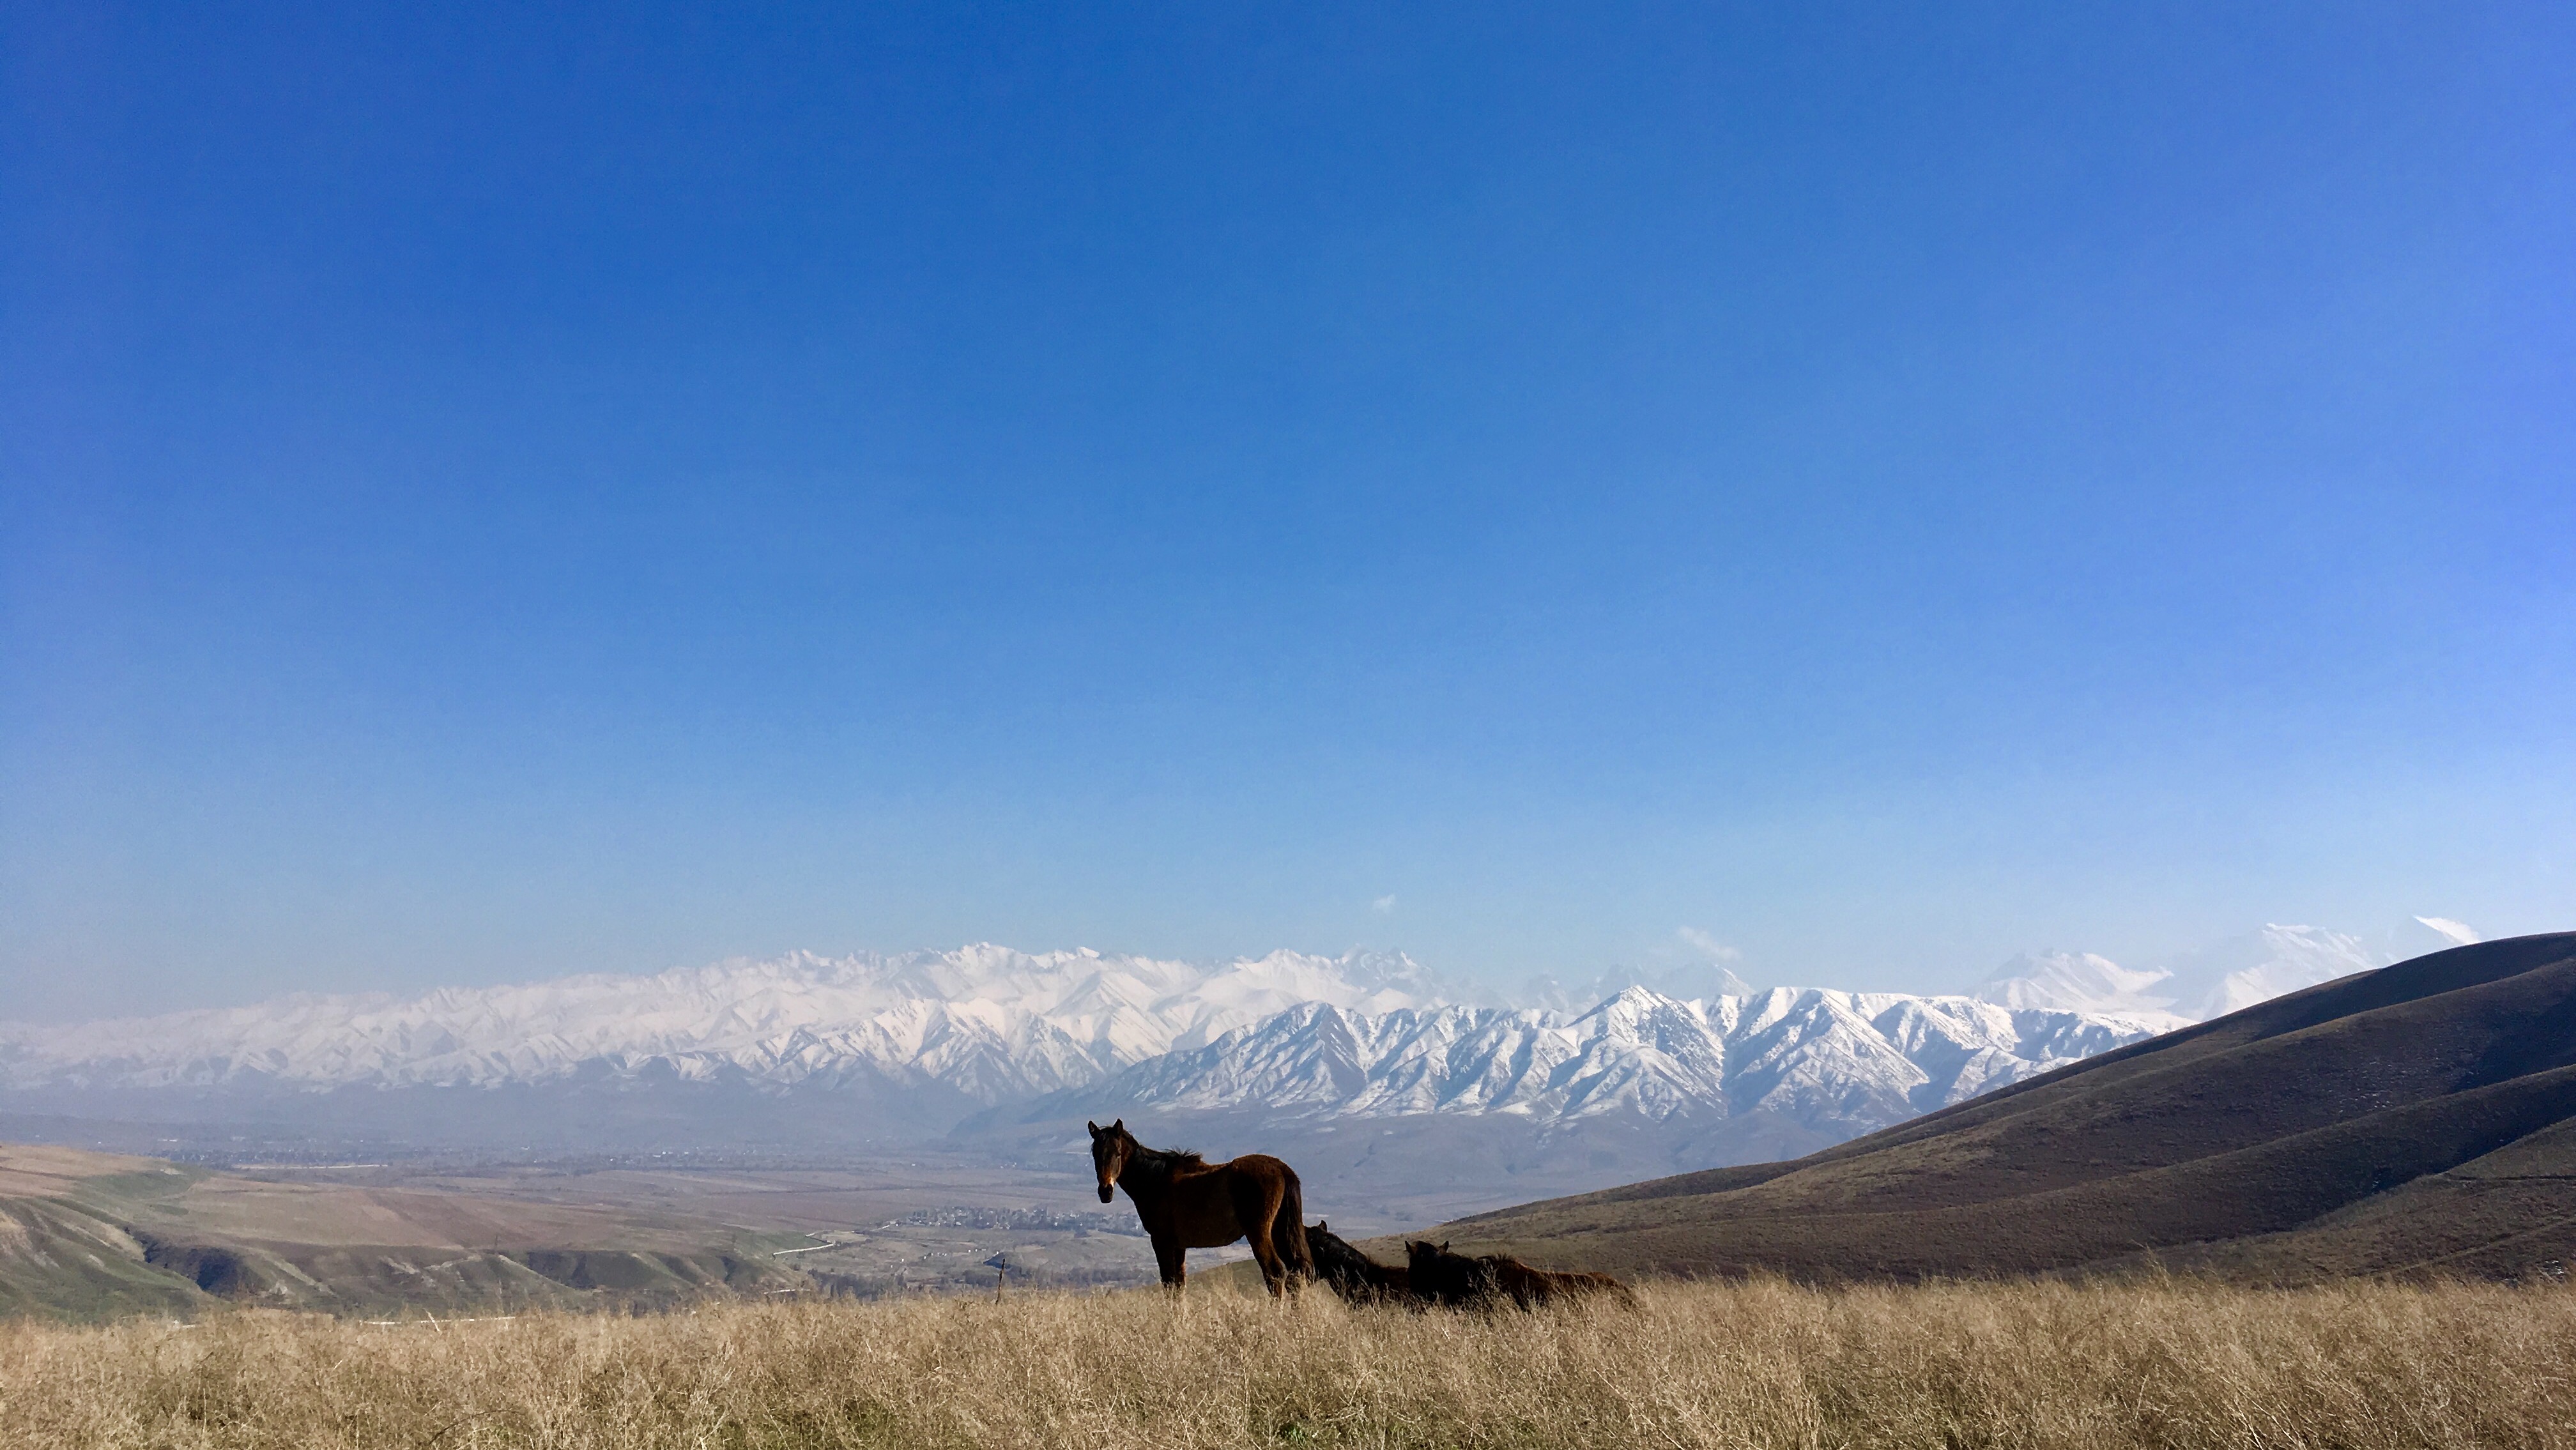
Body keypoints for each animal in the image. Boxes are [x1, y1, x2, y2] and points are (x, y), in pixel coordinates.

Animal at [1092, 1117, 1319, 1298]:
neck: (1155, 1180)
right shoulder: (1178, 1246)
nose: (1105, 1192)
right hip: (1280, 1232)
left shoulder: (1161, 1241)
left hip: (1260, 1234)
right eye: (1095, 1154)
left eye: (1118, 1153)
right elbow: (1179, 1287)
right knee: (1297, 1274)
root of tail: (1282, 1169)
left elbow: (1169, 1284)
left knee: (1275, 1274)